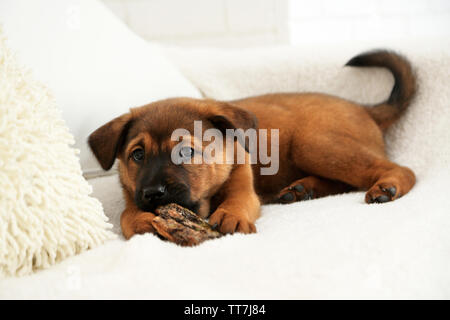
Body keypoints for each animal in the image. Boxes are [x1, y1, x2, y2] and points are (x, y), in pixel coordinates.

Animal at [89, 50, 416, 239]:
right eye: (137, 155)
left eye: (186, 151)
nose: (154, 194)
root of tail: (365, 109)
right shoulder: (132, 195)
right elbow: (125, 215)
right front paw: (141, 221)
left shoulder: (243, 185)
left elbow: (238, 201)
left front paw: (231, 216)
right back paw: (303, 189)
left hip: (312, 143)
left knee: (400, 169)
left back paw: (388, 186)